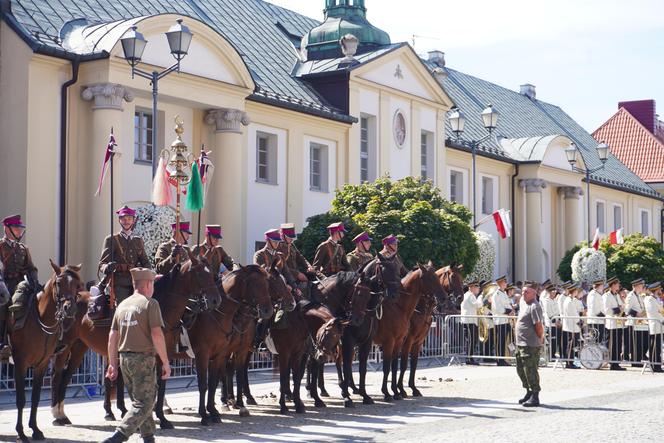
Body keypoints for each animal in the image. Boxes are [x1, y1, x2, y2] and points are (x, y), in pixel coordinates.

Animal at [8, 260, 82, 443]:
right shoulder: (20, 364)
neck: (40, 319)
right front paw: (21, 433)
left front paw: (35, 430)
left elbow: (35, 398)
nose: (69, 308)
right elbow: (21, 400)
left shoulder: (41, 364)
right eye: (59, 283)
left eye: (77, 285)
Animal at [370, 262, 444, 404]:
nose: (444, 297)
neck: (399, 307)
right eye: (430, 278)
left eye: (438, 278)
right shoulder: (398, 342)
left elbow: (409, 365)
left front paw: (407, 389)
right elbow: (398, 365)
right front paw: (394, 391)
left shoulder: (415, 343)